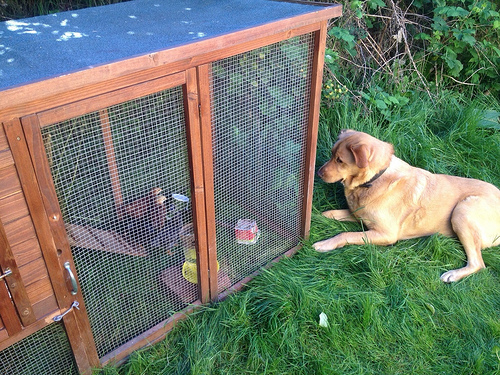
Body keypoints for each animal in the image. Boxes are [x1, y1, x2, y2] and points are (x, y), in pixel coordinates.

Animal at [314, 129, 500, 282]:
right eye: (331, 154)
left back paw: (453, 275)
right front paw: (318, 217)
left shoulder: (386, 234)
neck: (373, 180)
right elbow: (332, 213)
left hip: (462, 211)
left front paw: (325, 244)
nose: (318, 172)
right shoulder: (359, 215)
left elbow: (345, 234)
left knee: (478, 263)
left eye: (340, 160)